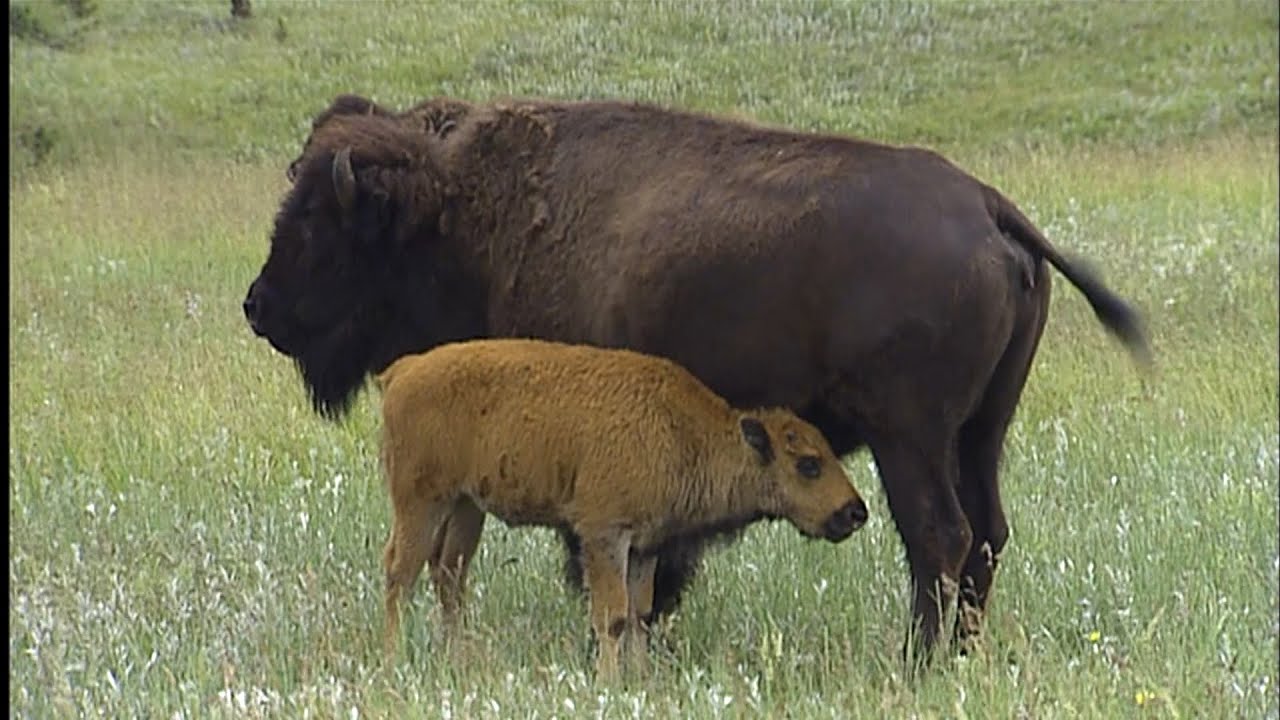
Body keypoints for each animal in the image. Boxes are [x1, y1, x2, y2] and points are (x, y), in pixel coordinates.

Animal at [376, 338, 870, 676]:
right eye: (808, 464)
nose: (855, 512)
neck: (685, 433)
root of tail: (404, 370)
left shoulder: (645, 546)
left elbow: (639, 615)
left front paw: (642, 677)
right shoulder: (604, 536)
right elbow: (612, 616)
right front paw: (610, 682)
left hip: (465, 507)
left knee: (449, 575)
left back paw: (456, 655)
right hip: (421, 501)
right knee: (400, 571)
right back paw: (395, 656)